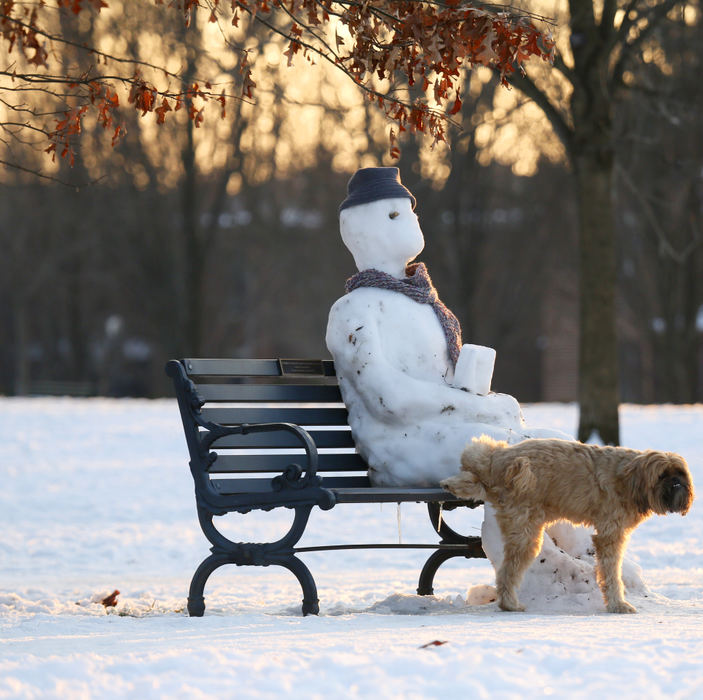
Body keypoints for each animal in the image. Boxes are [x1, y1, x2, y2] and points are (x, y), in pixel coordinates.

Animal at [442, 438, 696, 612]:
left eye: (679, 473)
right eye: (662, 475)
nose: (676, 483)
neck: (628, 478)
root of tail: (500, 462)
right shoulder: (610, 536)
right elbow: (612, 573)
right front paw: (617, 604)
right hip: (526, 536)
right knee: (507, 573)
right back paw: (510, 604)